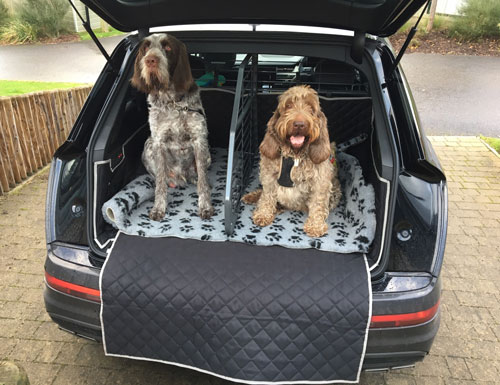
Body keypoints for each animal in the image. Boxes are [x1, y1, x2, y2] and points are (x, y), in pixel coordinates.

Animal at [130, 33, 212, 219]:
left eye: (167, 48)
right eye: (146, 48)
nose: (150, 60)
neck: (172, 102)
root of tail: (181, 177)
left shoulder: (199, 139)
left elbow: (203, 181)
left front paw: (205, 206)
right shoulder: (158, 142)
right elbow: (160, 182)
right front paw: (158, 208)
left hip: (207, 154)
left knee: (198, 175)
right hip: (148, 148)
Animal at [242, 85, 344, 237]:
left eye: (310, 107)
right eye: (288, 105)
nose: (299, 124)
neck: (294, 156)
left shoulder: (321, 182)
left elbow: (318, 203)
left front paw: (315, 226)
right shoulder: (269, 176)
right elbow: (267, 196)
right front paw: (263, 214)